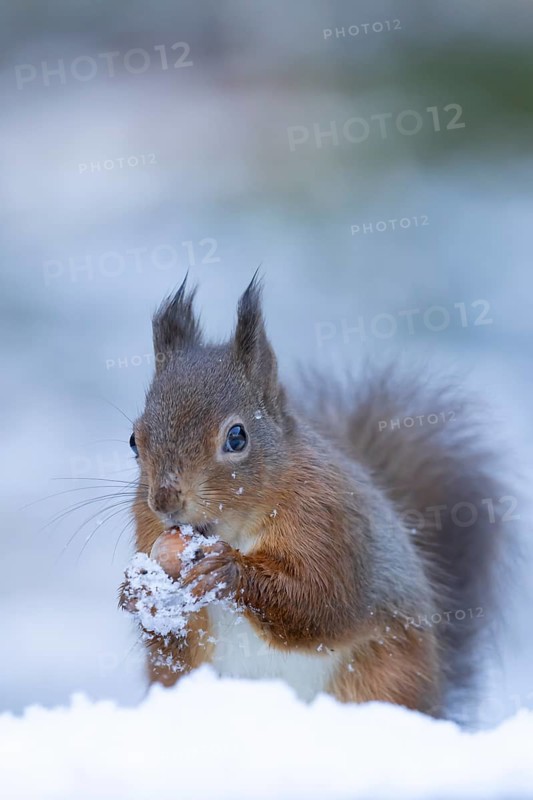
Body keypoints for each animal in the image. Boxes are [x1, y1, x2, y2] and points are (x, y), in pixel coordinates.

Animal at [119, 275, 509, 721]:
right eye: (133, 440)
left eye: (236, 437)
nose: (164, 501)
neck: (236, 531)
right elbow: (175, 641)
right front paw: (138, 591)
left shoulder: (330, 522)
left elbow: (320, 602)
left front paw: (228, 571)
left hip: (387, 676)